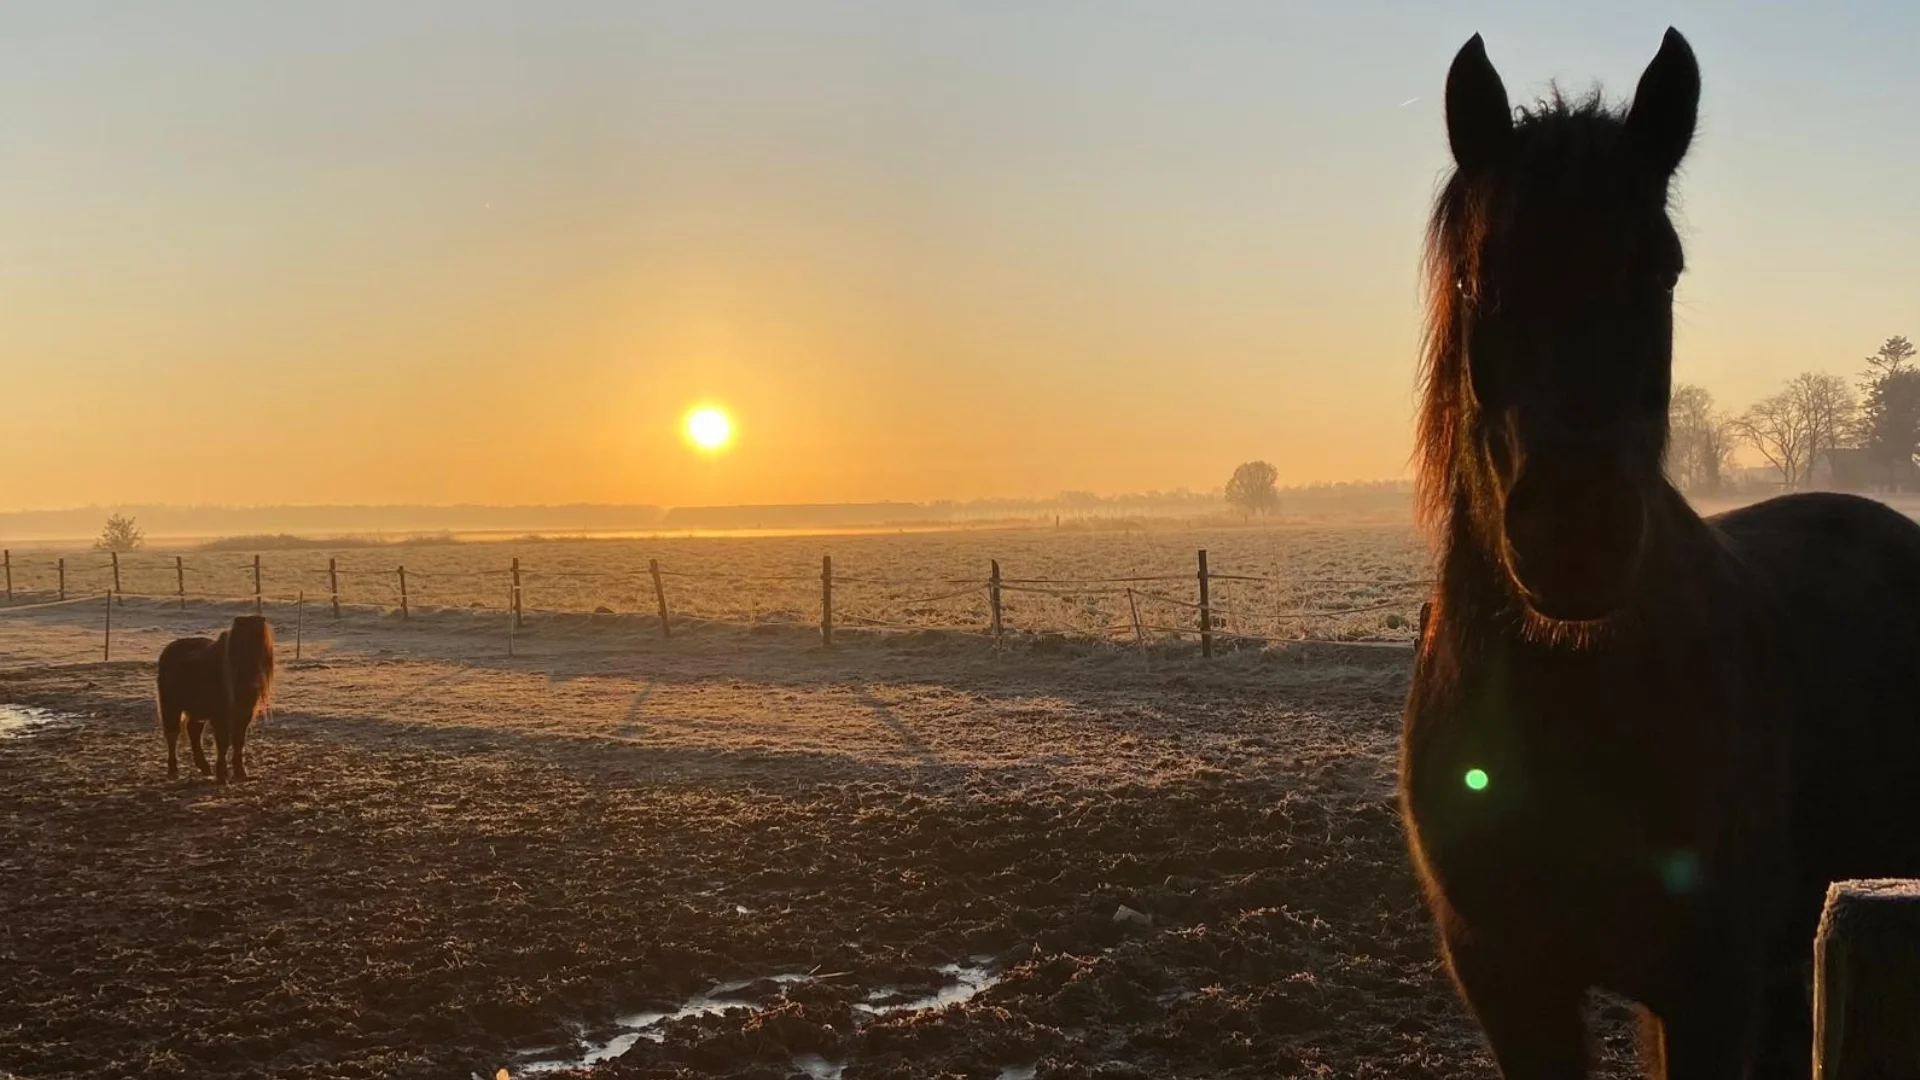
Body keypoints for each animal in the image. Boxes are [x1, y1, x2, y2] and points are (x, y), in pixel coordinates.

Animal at [156, 614, 276, 784]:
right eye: (240, 643)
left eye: (262, 642)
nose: (254, 679)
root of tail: (169, 649)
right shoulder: (221, 715)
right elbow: (223, 742)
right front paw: (222, 774)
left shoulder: (243, 714)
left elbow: (238, 741)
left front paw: (240, 772)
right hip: (170, 706)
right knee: (172, 734)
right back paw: (173, 770)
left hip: (196, 709)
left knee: (193, 731)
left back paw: (204, 767)